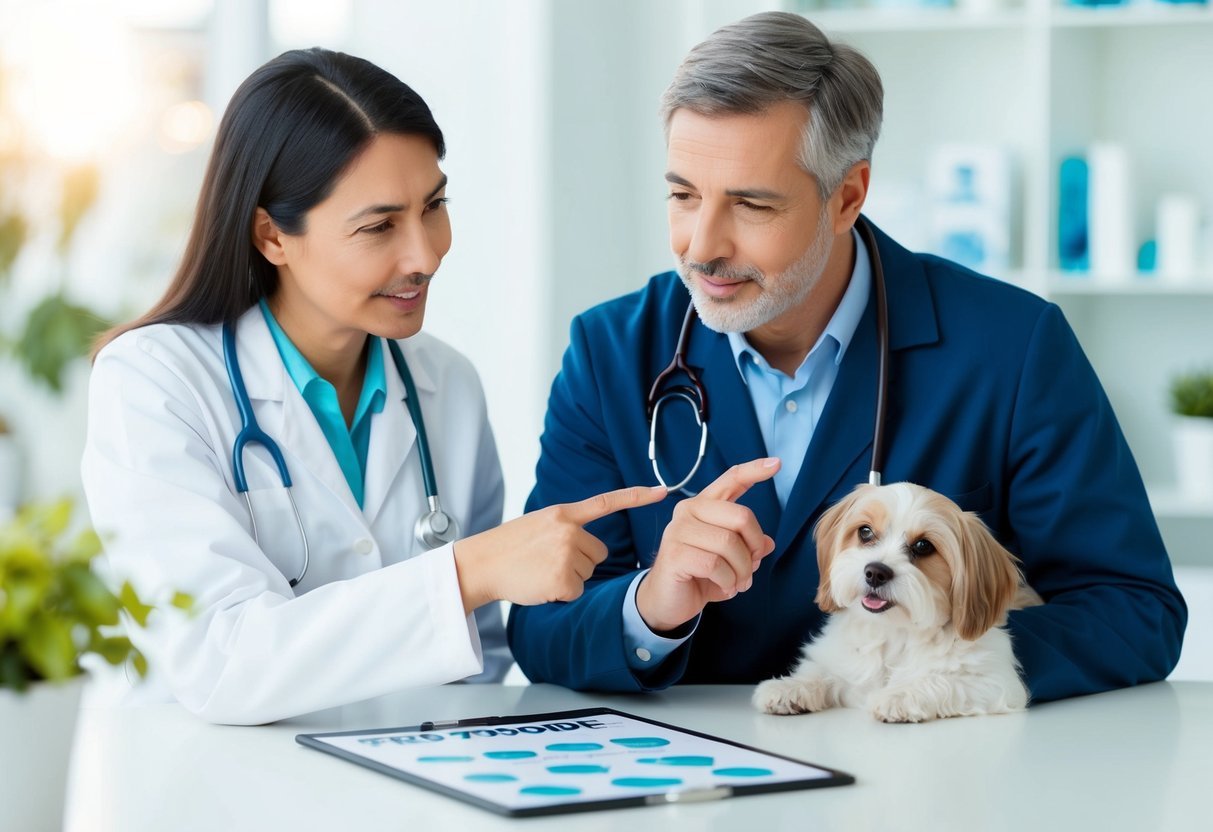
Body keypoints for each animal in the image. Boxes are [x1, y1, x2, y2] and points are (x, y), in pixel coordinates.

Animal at [747, 482, 1043, 722]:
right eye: (865, 532)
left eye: (923, 546)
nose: (875, 572)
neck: (894, 633)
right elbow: (822, 672)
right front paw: (790, 687)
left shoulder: (996, 684)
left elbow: (940, 680)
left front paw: (899, 695)